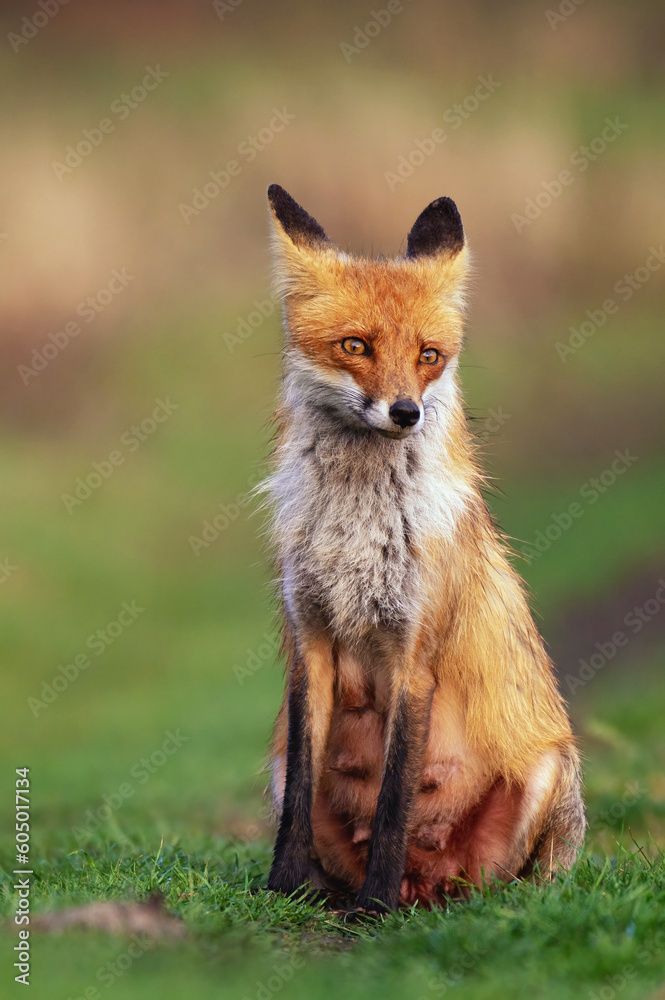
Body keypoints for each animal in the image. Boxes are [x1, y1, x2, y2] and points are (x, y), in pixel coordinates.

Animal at [261, 183, 585, 913]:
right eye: (355, 345)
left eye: (428, 355)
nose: (405, 412)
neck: (357, 527)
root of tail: (430, 882)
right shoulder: (309, 641)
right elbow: (300, 799)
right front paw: (278, 890)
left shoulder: (413, 655)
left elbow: (392, 800)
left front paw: (375, 907)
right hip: (275, 767)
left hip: (549, 778)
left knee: (505, 886)